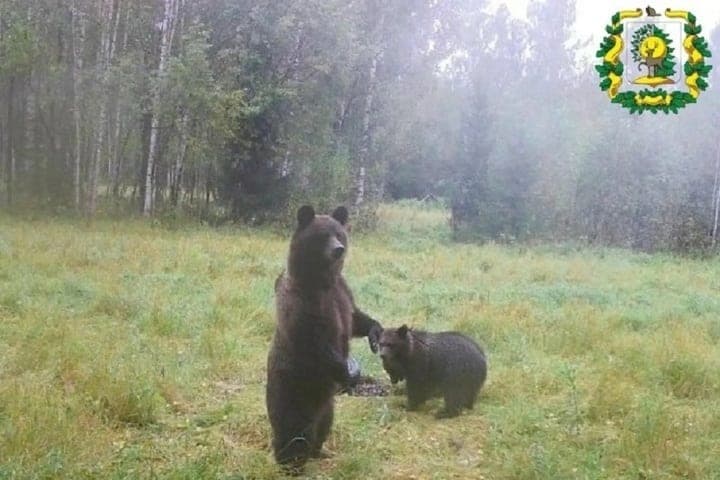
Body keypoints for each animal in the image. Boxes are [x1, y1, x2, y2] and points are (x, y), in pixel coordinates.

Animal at [266, 205, 383, 473]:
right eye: (322, 235)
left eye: (339, 233)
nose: (338, 249)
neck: (322, 280)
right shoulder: (302, 303)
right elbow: (315, 341)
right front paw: (346, 370)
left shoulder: (342, 293)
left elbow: (355, 318)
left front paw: (375, 332)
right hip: (293, 391)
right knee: (293, 433)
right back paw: (290, 463)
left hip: (327, 405)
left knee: (323, 426)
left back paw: (321, 451)